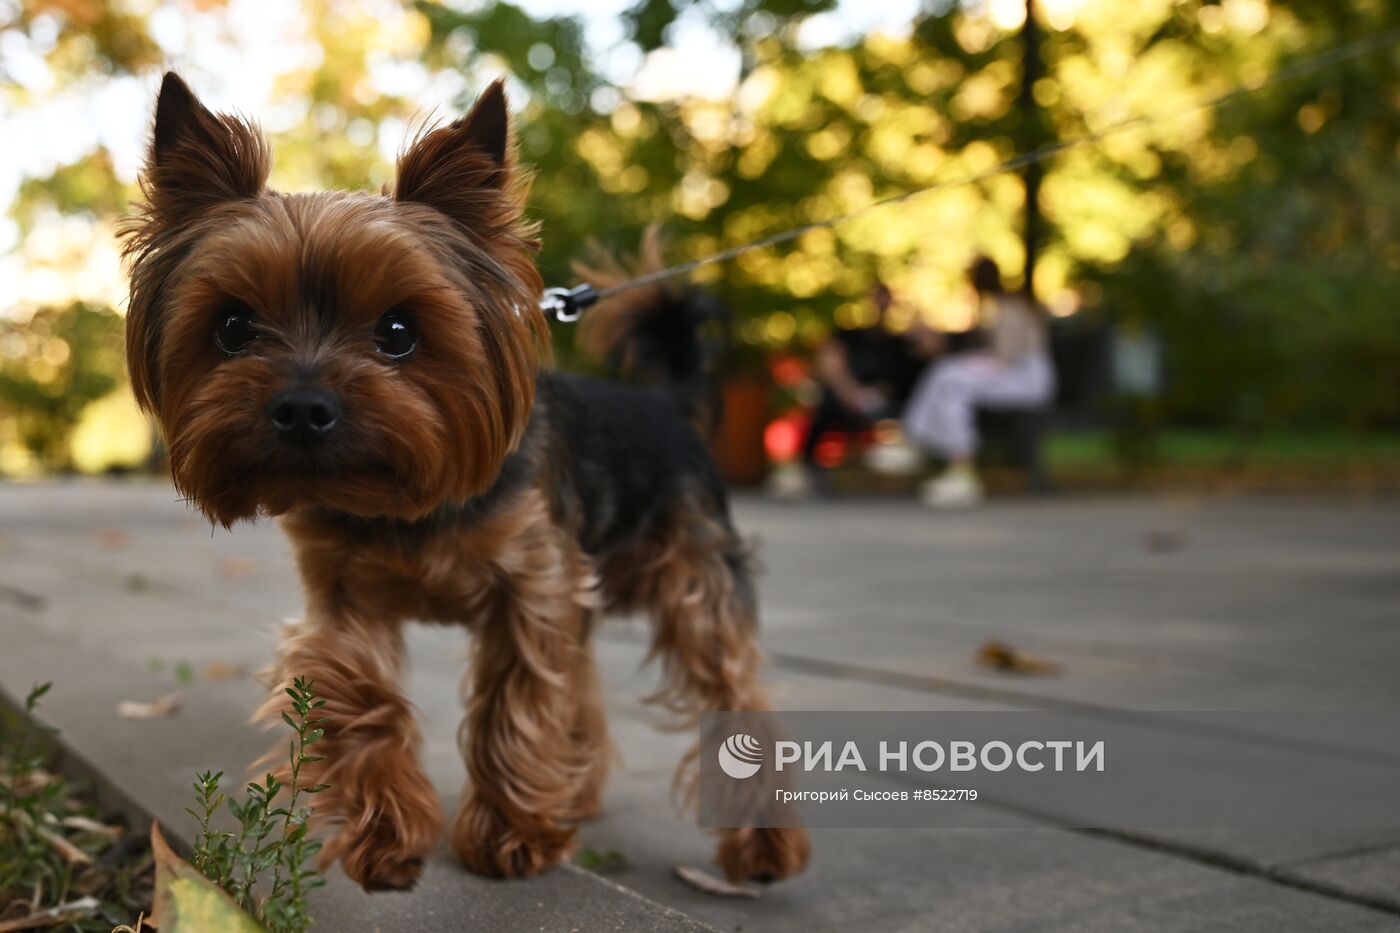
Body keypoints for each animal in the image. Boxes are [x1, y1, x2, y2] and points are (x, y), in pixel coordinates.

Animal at [120, 70, 812, 885]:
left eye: (398, 331)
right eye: (232, 327)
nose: (302, 408)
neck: (401, 501)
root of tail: (666, 404)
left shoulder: (533, 585)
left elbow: (520, 699)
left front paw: (512, 834)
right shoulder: (344, 592)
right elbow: (350, 680)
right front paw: (388, 829)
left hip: (692, 575)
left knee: (730, 685)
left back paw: (762, 845)